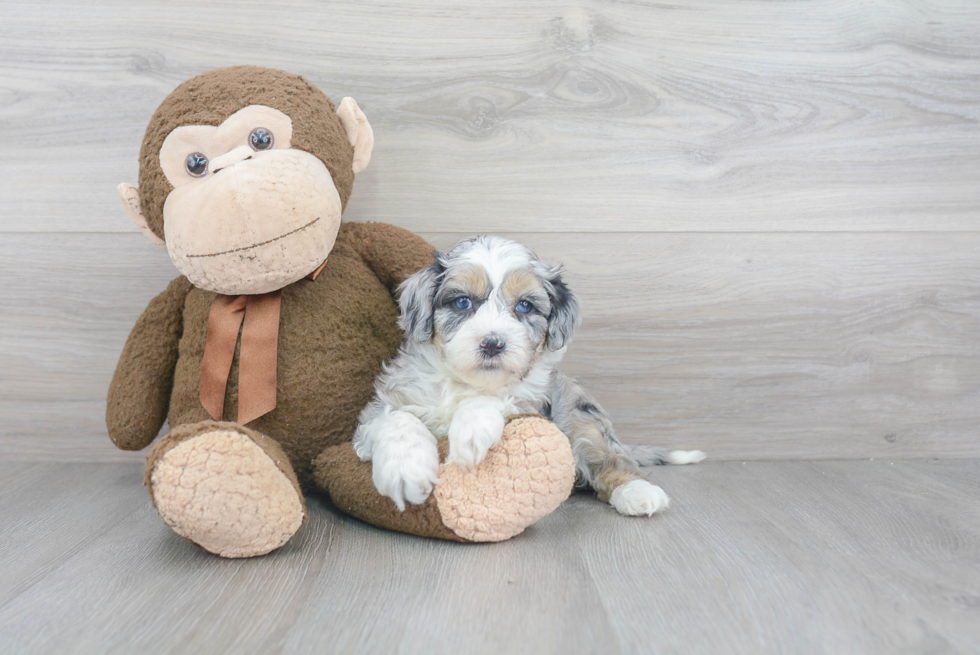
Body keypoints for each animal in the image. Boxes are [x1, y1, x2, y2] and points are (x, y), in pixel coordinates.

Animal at [354, 236, 704, 516]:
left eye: (524, 306)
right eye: (462, 302)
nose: (492, 343)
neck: (466, 383)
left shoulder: (534, 405)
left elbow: (498, 400)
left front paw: (470, 433)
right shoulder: (379, 408)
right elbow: (396, 419)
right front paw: (406, 470)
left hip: (582, 418)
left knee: (611, 460)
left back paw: (638, 493)